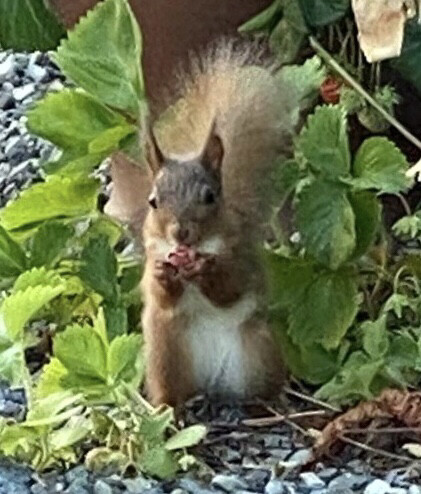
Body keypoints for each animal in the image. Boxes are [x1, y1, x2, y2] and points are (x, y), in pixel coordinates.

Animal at [139, 41, 294, 406]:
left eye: (209, 197)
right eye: (153, 202)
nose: (181, 233)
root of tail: (213, 380)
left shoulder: (239, 257)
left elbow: (231, 286)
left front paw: (206, 270)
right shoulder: (152, 253)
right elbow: (157, 293)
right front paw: (162, 274)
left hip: (259, 347)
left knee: (262, 385)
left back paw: (272, 401)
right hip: (164, 351)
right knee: (170, 391)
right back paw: (168, 409)